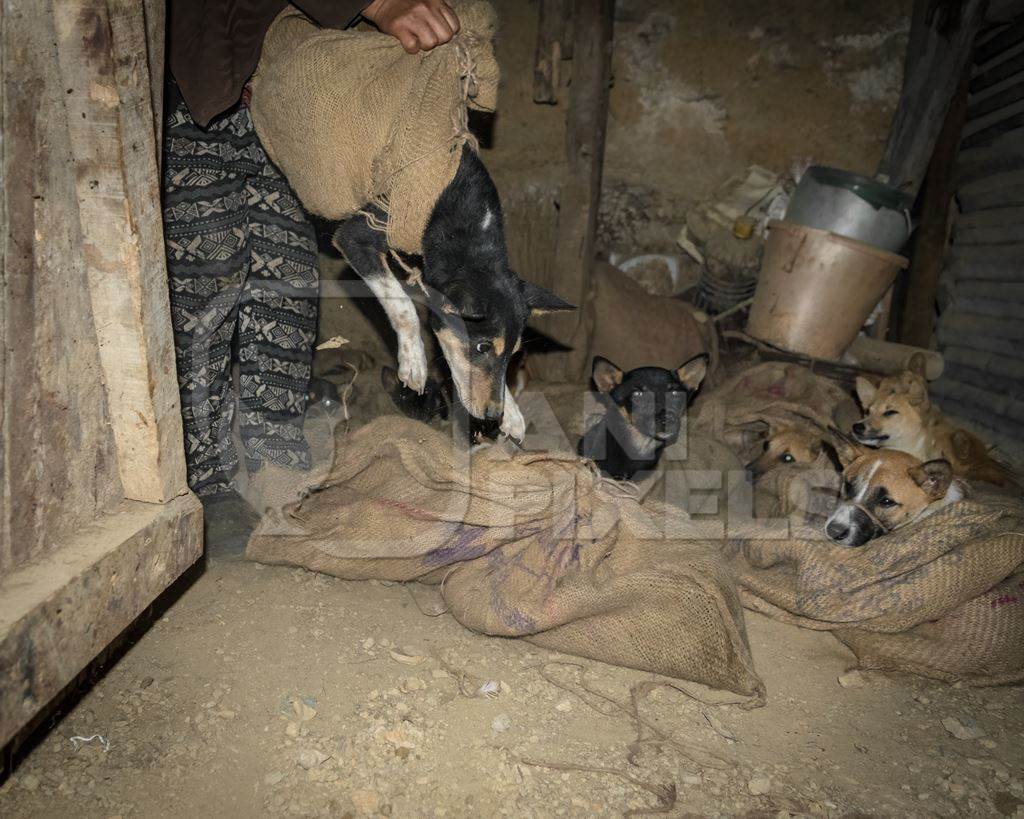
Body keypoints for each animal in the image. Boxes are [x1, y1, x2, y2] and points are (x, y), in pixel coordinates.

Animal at [329, 147, 573, 442]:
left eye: (514, 354)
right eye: (482, 347)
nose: (494, 415)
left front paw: (512, 413)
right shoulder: (356, 236)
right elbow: (403, 306)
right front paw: (414, 360)